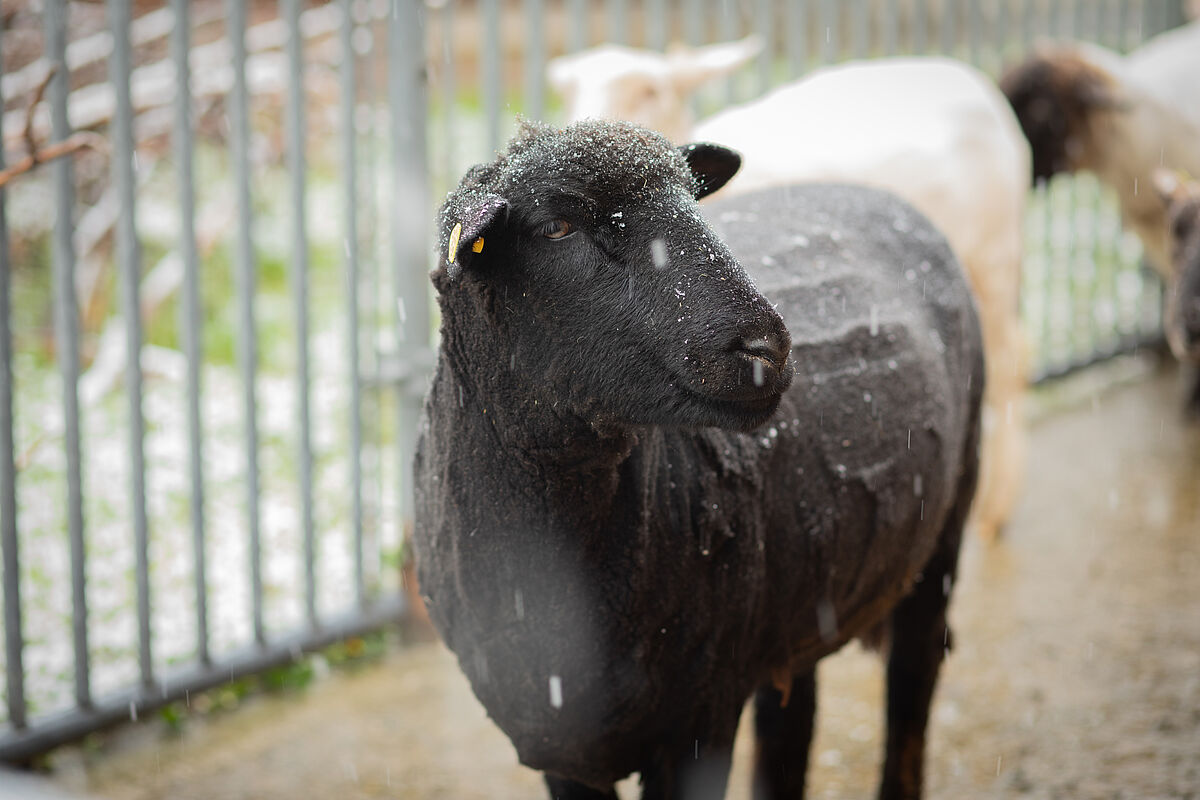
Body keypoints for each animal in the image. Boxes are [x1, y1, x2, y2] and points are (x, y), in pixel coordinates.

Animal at [412, 120, 984, 800]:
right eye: (557, 226)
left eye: (692, 197)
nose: (767, 348)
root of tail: (870, 191)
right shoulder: (559, 744)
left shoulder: (701, 717)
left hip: (944, 531)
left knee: (911, 691)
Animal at [549, 43, 1027, 544]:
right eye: (565, 91)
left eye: (651, 90)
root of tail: (959, 71)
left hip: (995, 259)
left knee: (1010, 365)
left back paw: (994, 509)